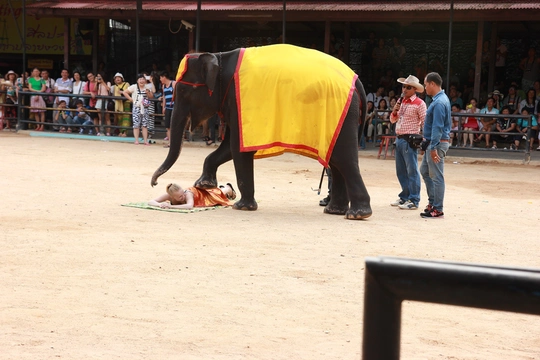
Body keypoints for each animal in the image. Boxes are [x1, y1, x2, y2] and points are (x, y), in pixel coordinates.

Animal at [151, 45, 372, 219]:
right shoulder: (232, 103)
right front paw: (204, 185)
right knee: (336, 161)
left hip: (343, 115)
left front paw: (242, 207)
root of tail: (356, 79)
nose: (154, 183)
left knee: (343, 159)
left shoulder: (238, 101)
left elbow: (237, 148)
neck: (219, 56)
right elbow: (229, 146)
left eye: (183, 91)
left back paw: (357, 214)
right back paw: (335, 211)